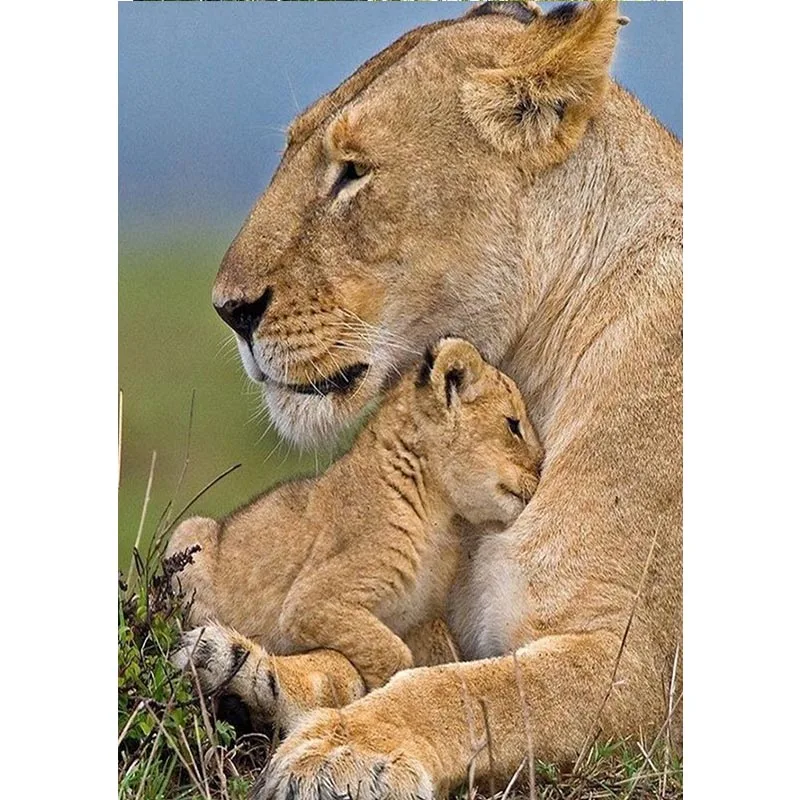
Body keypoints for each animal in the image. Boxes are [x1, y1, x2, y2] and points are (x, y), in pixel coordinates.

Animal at [168, 337, 542, 722]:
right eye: (513, 425)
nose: (541, 471)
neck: (438, 514)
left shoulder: (421, 620)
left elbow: (439, 661)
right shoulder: (310, 602)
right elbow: (392, 654)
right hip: (190, 533)